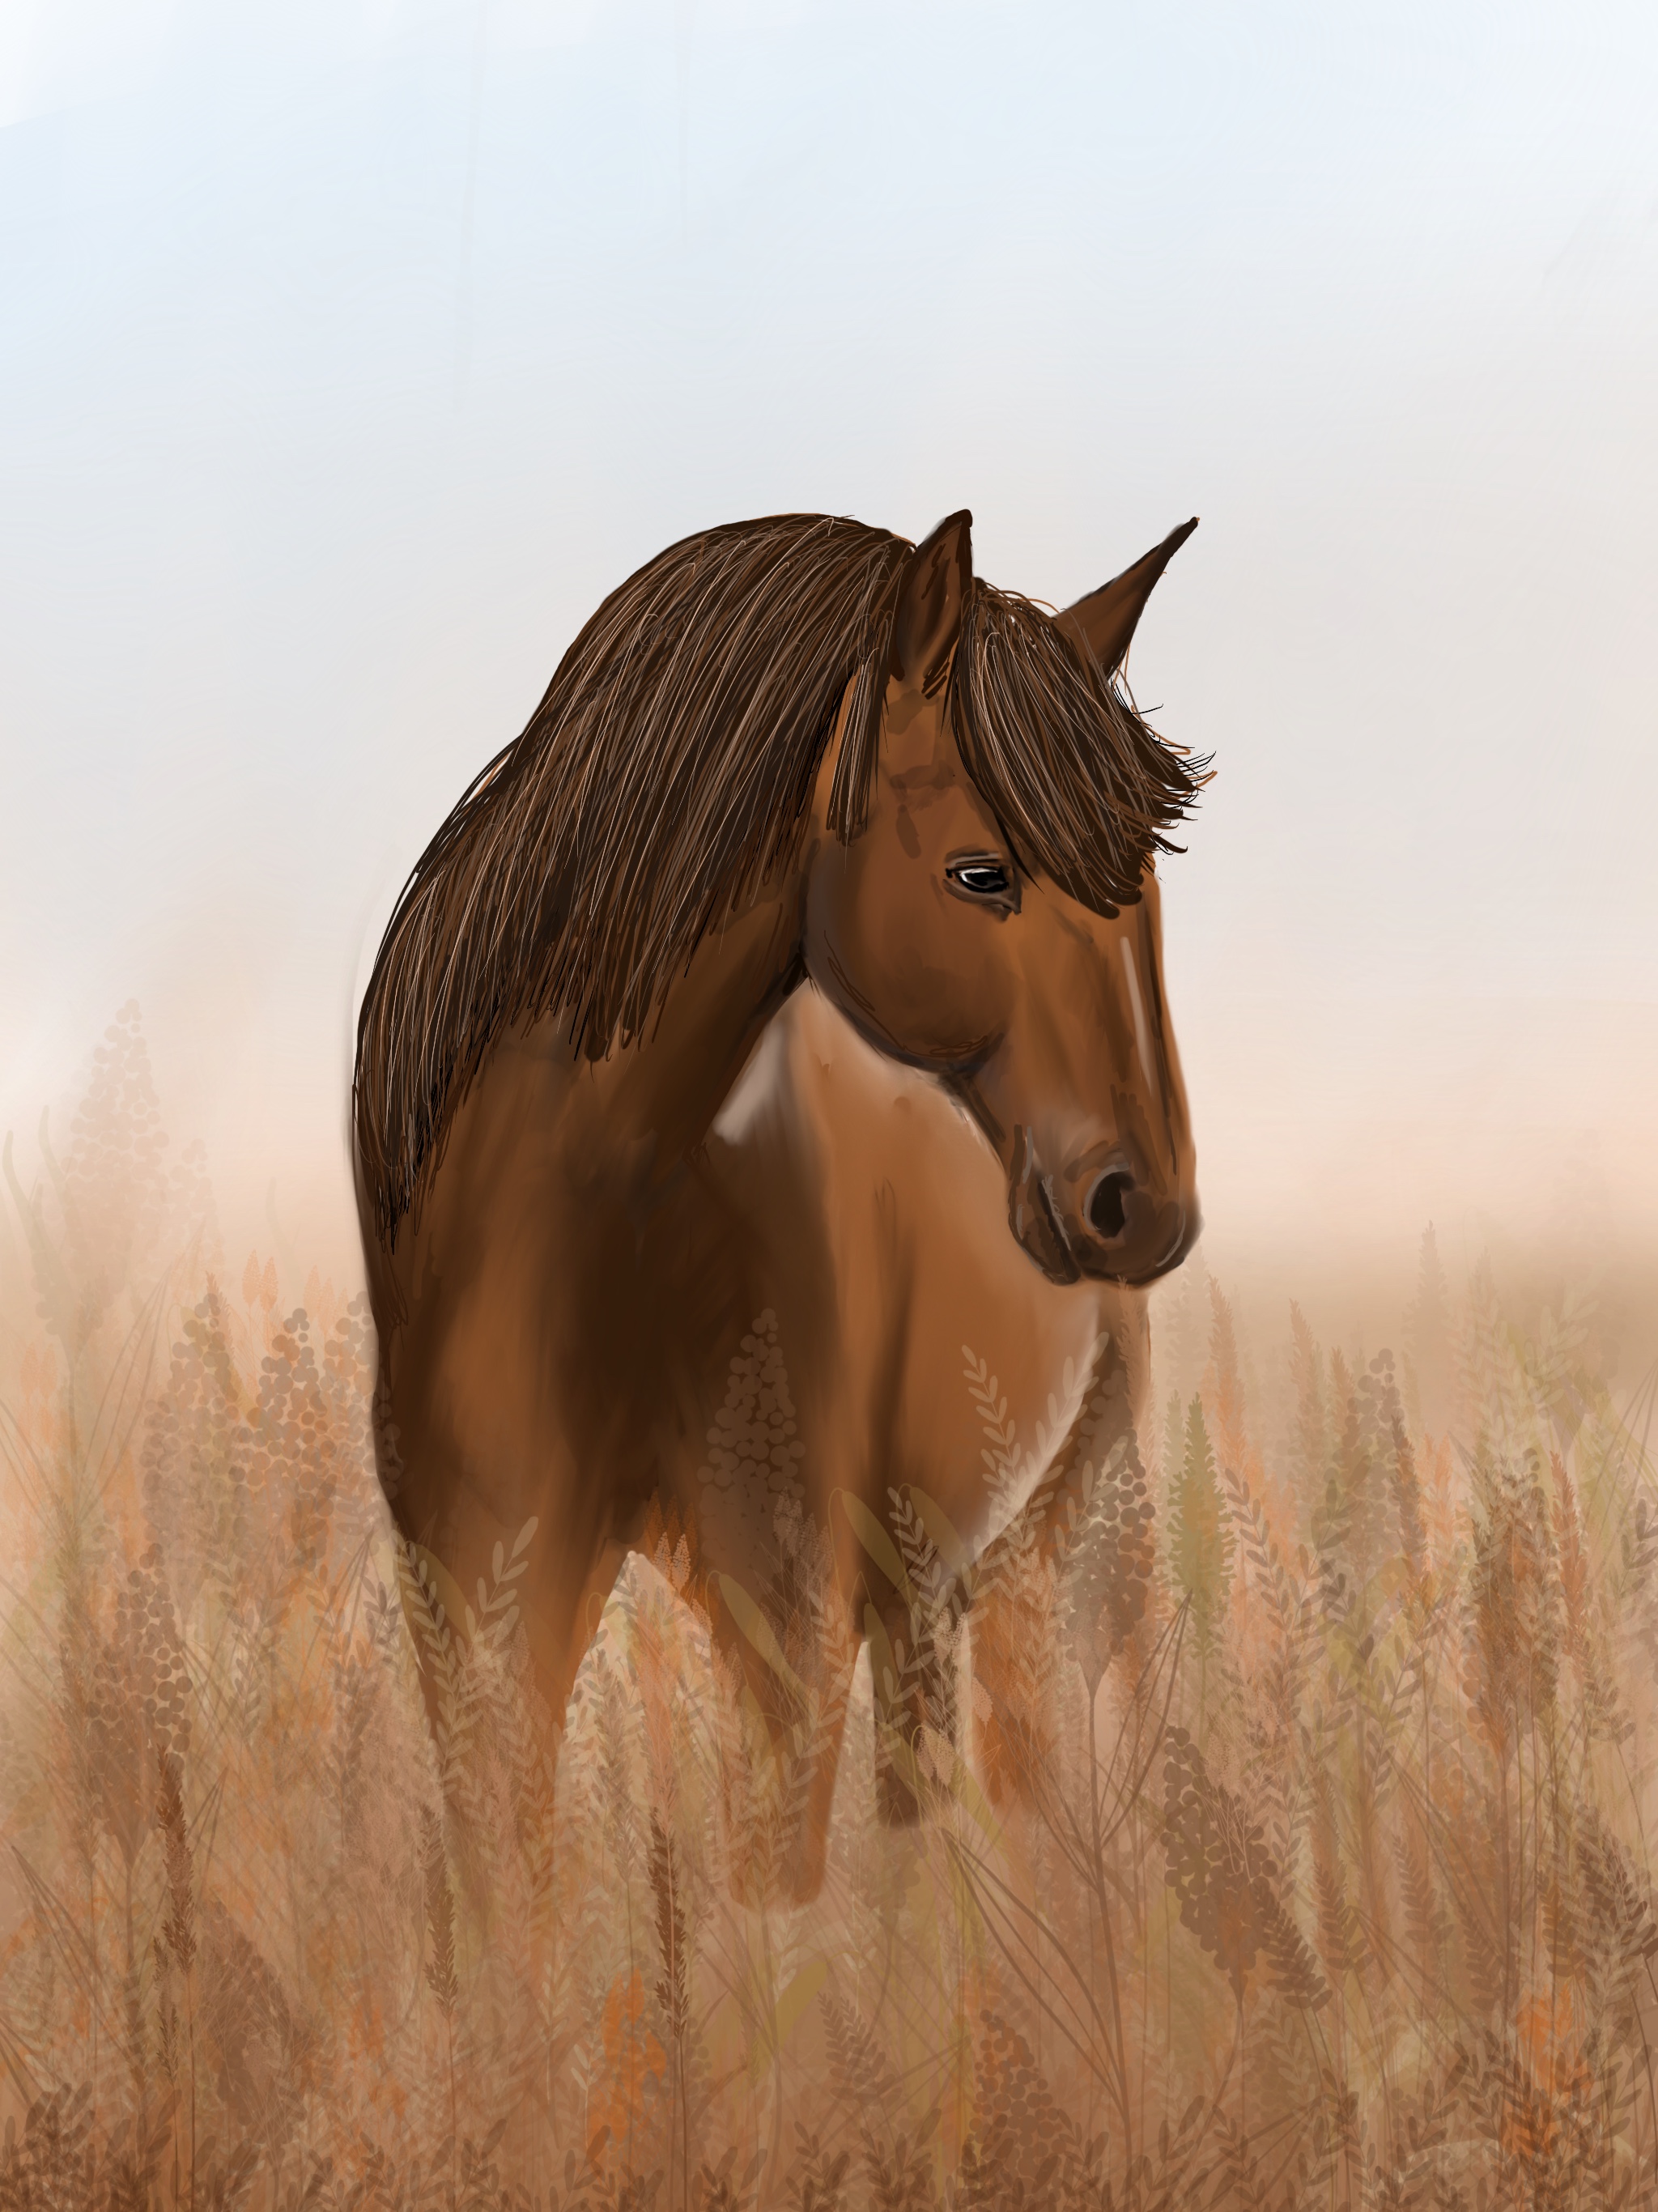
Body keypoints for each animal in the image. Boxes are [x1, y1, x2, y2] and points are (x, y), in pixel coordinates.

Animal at [352, 507, 1205, 1898]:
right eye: (981, 874)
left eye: (1147, 885)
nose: (1146, 1205)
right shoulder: (478, 1614)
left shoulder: (789, 1630)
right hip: (924, 1588)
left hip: (1054, 1572)